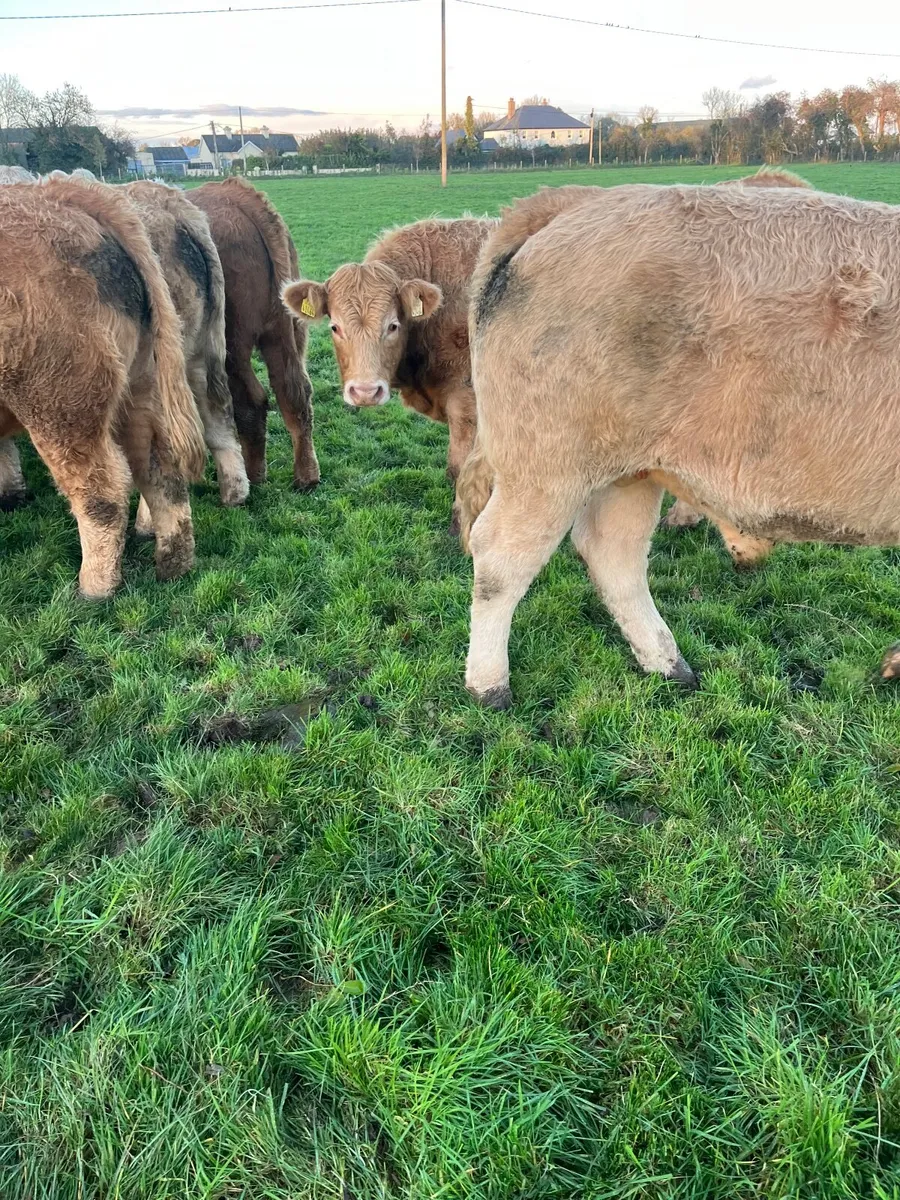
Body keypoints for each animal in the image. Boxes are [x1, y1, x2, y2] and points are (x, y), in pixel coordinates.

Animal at [0, 176, 206, 597]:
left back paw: (93, 591)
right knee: (159, 467)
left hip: (59, 404)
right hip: (141, 386)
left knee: (102, 491)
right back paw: (172, 565)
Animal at [188, 177, 319, 491]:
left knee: (251, 400)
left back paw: (251, 477)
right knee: (294, 391)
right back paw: (307, 476)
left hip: (230, 344)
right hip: (286, 332)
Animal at [459, 182, 900, 707]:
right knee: (500, 560)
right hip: (545, 466)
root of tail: (581, 198)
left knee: (613, 554)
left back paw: (668, 666)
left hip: (629, 470)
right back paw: (489, 685)